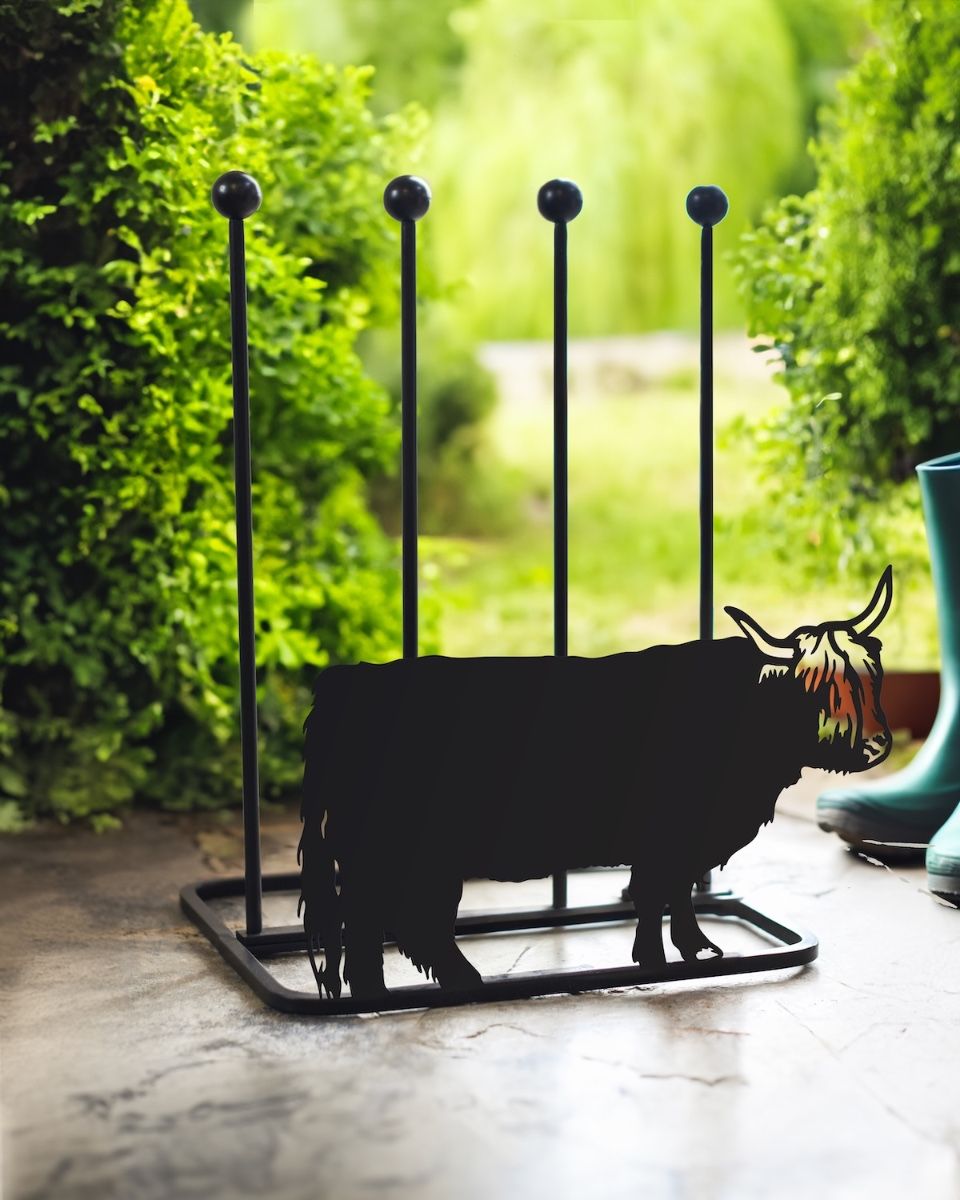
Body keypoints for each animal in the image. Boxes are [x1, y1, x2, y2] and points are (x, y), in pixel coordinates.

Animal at [299, 568, 892, 999]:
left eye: (872, 674)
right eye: (815, 688)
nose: (876, 747)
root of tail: (348, 679)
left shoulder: (687, 841)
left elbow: (677, 893)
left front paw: (695, 949)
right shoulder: (667, 835)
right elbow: (655, 893)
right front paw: (655, 958)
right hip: (397, 851)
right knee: (386, 920)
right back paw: (410, 988)